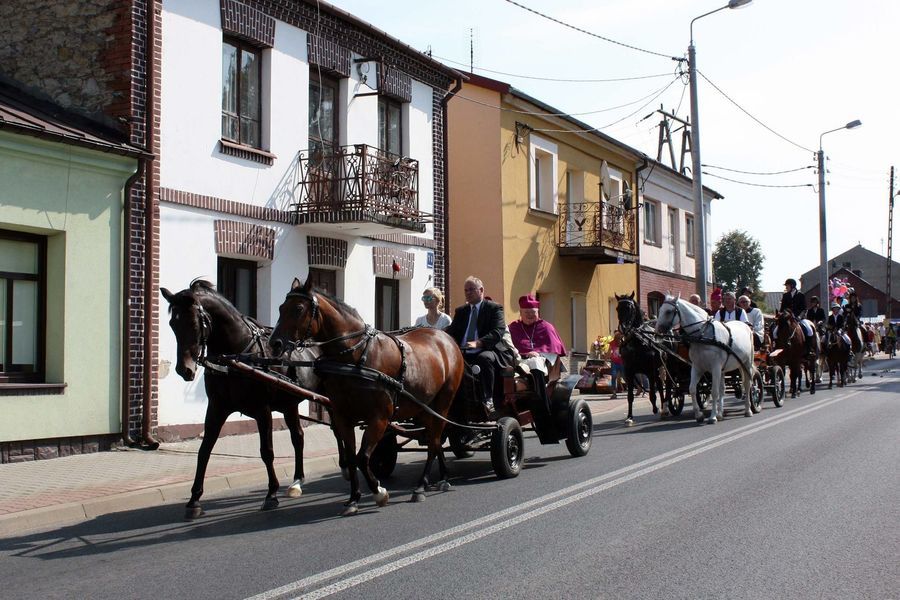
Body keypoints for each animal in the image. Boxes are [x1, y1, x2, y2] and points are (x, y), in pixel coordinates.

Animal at [163, 278, 324, 516]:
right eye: (173, 325)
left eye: (193, 324)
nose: (184, 370)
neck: (237, 356)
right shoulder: (217, 408)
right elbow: (204, 450)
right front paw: (194, 500)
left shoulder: (262, 410)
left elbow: (267, 451)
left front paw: (271, 494)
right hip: (289, 405)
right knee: (298, 437)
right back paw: (297, 482)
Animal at [268, 278, 464, 516]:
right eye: (280, 308)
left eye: (298, 308)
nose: (274, 343)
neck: (356, 357)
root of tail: (446, 338)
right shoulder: (343, 417)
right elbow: (353, 457)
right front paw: (354, 499)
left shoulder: (378, 418)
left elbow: (363, 457)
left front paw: (379, 492)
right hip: (424, 406)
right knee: (434, 440)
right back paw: (443, 477)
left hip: (443, 402)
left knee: (434, 441)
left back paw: (421, 486)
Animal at [616, 292, 664, 424]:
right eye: (617, 308)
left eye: (630, 308)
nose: (623, 328)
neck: (638, 341)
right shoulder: (629, 372)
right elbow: (630, 396)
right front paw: (629, 417)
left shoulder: (649, 371)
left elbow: (652, 393)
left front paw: (655, 409)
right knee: (660, 385)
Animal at [656, 294, 756, 424]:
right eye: (659, 310)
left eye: (668, 311)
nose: (657, 332)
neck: (703, 335)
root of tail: (745, 325)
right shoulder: (697, 367)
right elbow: (693, 389)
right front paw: (699, 415)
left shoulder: (715, 367)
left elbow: (714, 392)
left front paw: (712, 417)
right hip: (724, 369)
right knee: (723, 389)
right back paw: (720, 413)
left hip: (746, 363)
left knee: (747, 384)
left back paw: (748, 410)